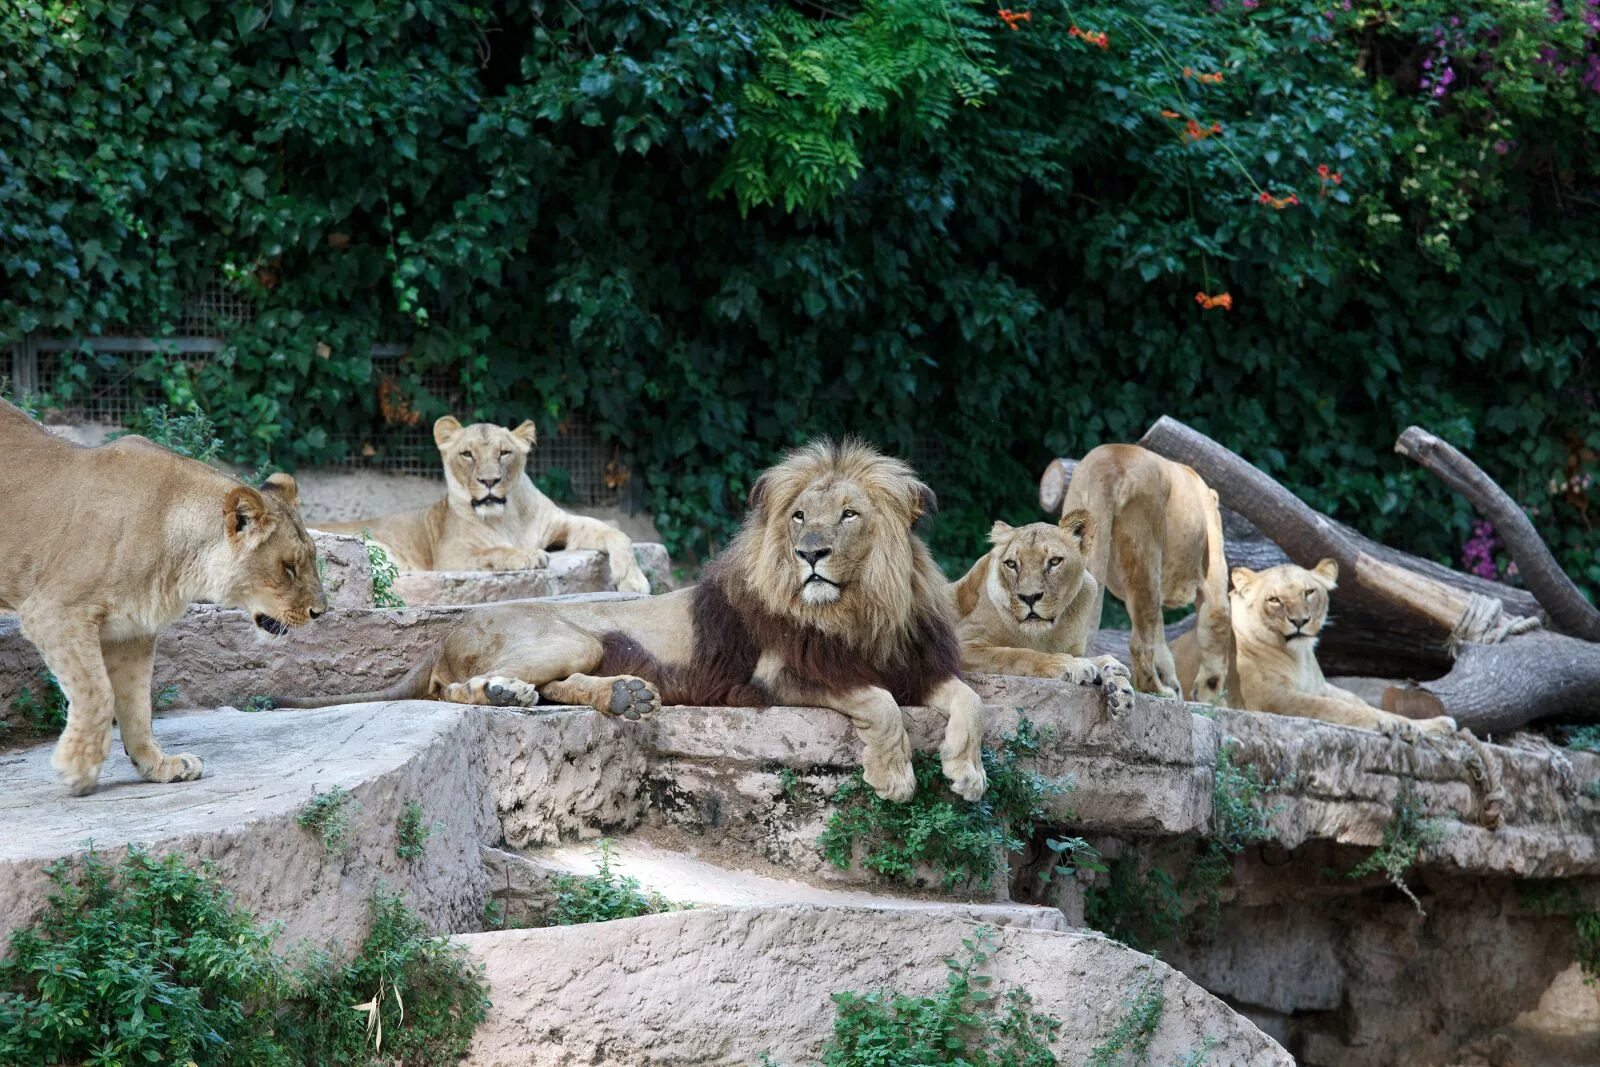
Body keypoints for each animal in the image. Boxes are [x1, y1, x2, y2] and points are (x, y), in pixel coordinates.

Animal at [0, 398, 328, 793]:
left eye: (310, 559)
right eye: (289, 567)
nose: (321, 611)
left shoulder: (132, 632)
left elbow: (136, 703)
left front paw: (158, 765)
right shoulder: (53, 611)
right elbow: (98, 692)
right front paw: (78, 768)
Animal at [288, 435, 985, 799]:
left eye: (848, 515)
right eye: (797, 517)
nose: (809, 554)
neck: (860, 612)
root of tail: (445, 632)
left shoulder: (917, 664)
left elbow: (972, 700)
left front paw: (967, 772)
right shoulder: (780, 676)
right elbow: (878, 702)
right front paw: (895, 777)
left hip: (587, 653)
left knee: (557, 688)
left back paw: (622, 696)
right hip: (564, 640)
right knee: (454, 689)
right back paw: (503, 692)